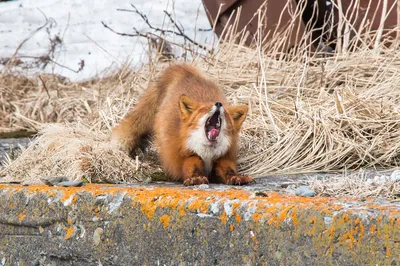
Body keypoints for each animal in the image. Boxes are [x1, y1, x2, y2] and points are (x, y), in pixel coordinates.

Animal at [111, 63, 253, 186]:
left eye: (226, 114)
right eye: (204, 109)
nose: (218, 104)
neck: (208, 152)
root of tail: (181, 67)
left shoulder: (223, 156)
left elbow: (228, 169)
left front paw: (236, 177)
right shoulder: (184, 155)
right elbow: (192, 165)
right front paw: (195, 178)